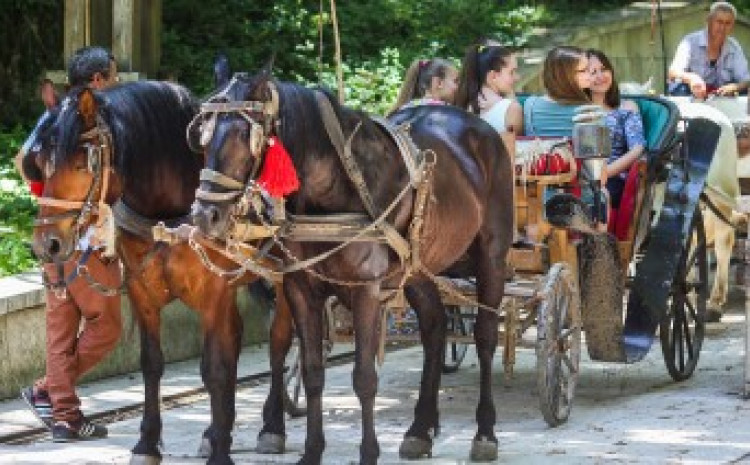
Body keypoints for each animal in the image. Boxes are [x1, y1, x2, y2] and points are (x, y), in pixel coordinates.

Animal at [30, 82, 296, 464]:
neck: (166, 215)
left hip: (286, 273)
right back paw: (216, 431)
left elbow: (214, 368)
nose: (46, 243)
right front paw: (148, 442)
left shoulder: (213, 293)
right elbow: (152, 364)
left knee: (278, 342)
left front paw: (221, 450)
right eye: (39, 163)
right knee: (237, 336)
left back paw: (272, 426)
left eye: (82, 163)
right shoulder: (142, 293)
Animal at [191, 70, 516, 464]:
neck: (333, 186)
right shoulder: (300, 289)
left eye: (244, 133)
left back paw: (485, 432)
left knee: (485, 336)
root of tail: (479, 128)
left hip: (492, 256)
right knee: (435, 328)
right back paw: (420, 428)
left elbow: (364, 378)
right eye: (202, 135)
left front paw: (368, 452)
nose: (204, 214)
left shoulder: (365, 291)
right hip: (418, 268)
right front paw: (311, 452)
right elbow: (313, 373)